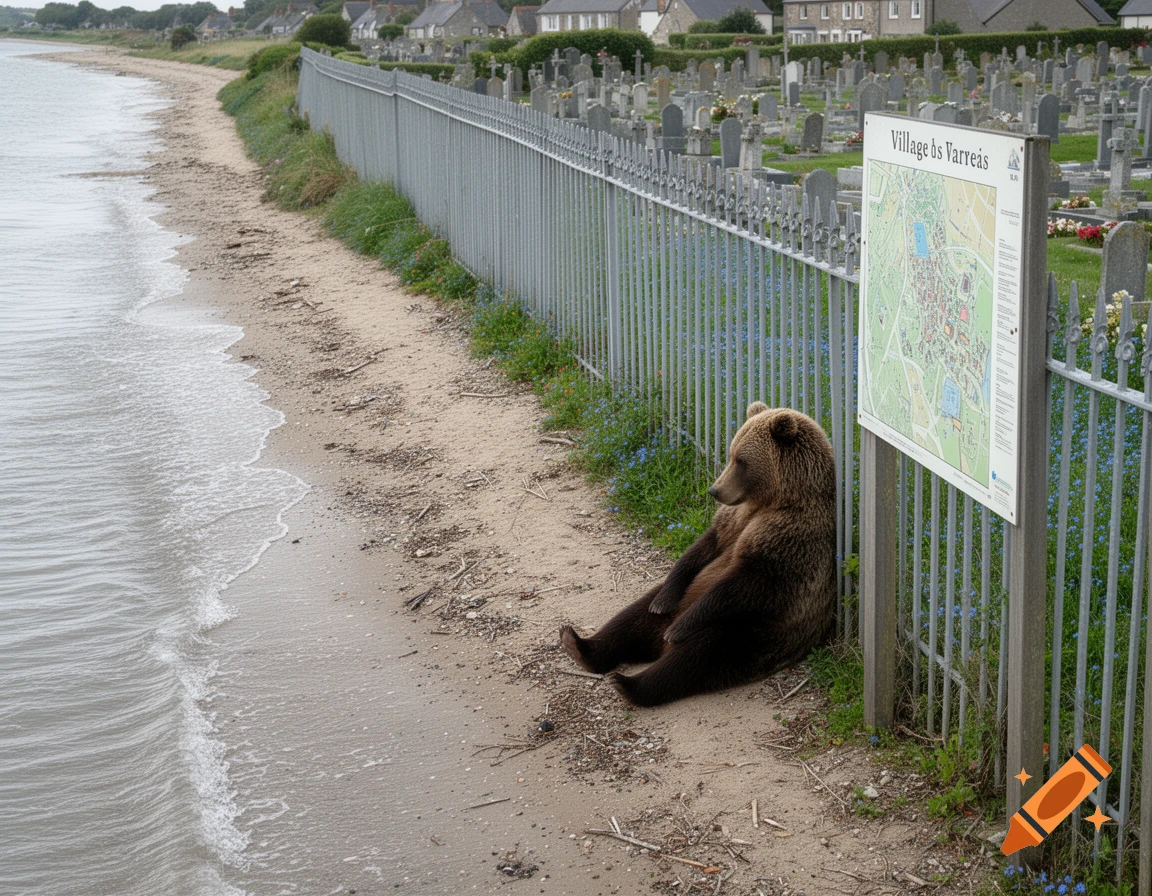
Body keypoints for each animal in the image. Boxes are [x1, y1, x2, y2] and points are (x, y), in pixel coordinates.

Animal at [559, 402, 837, 707]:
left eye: (742, 460)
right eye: (731, 453)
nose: (715, 490)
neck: (777, 500)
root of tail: (659, 646)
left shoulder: (792, 537)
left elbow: (749, 581)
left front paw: (680, 627)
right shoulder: (734, 520)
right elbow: (701, 549)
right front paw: (663, 599)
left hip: (754, 635)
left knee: (698, 656)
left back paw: (629, 682)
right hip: (685, 607)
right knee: (632, 618)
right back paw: (579, 644)